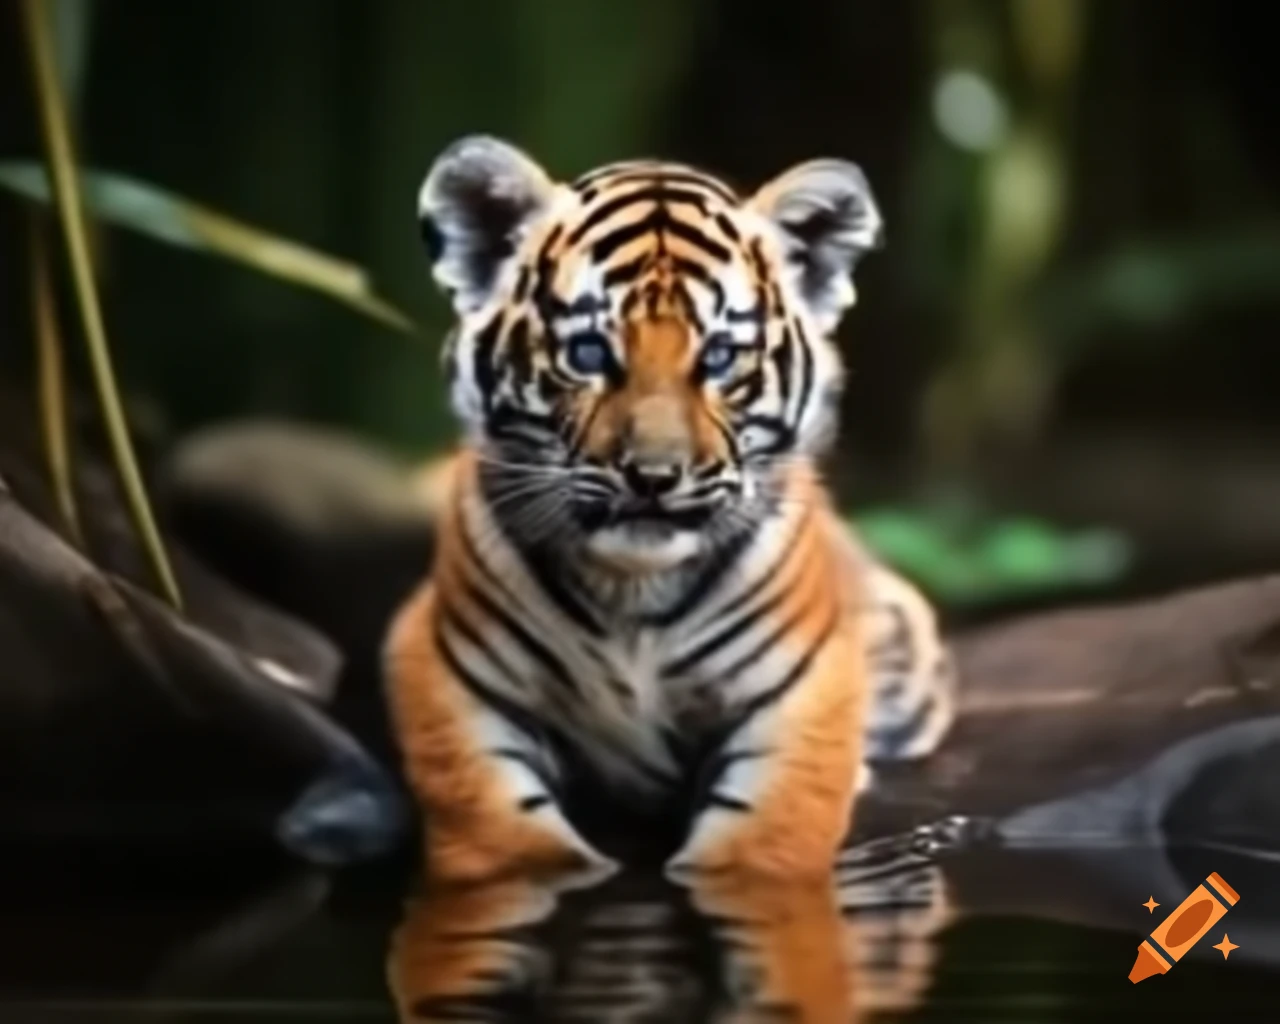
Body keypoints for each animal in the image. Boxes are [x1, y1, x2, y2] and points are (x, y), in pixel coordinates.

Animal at [383, 134, 957, 885]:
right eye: (588, 352)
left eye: (719, 358)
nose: (653, 476)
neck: (632, 589)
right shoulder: (444, 669)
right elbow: (504, 840)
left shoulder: (802, 689)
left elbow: (758, 849)